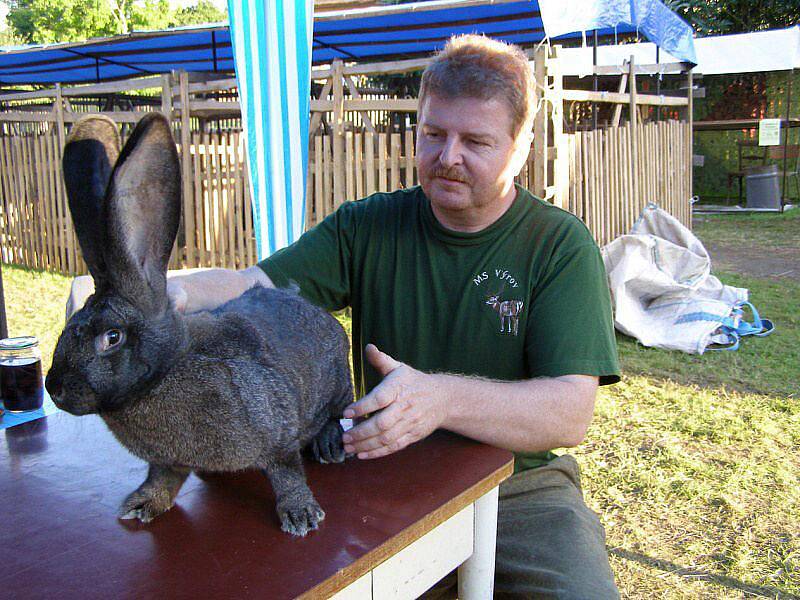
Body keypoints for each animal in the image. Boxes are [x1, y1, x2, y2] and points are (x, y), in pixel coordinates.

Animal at [45, 115, 354, 536]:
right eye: (68, 326)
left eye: (112, 336)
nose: (53, 388)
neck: (166, 371)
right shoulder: (166, 461)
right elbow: (162, 478)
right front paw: (141, 505)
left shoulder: (277, 432)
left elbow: (287, 472)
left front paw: (301, 516)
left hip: (338, 384)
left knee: (336, 414)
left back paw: (328, 445)